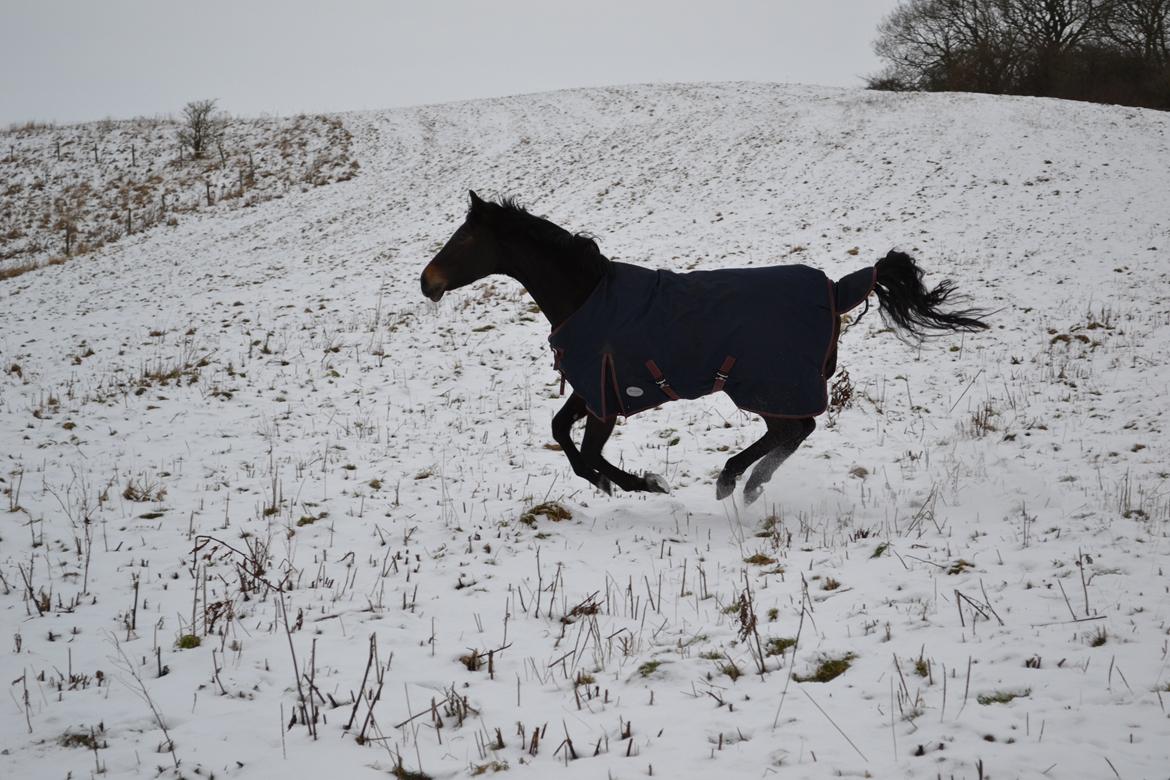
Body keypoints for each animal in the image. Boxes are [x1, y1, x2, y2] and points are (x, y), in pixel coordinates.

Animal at [423, 191, 987, 502]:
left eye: (465, 239)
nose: (427, 283)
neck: (586, 296)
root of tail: (836, 287)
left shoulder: (606, 395)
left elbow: (587, 452)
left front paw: (644, 484)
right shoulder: (592, 389)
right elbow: (564, 436)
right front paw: (616, 484)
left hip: (763, 382)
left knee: (795, 429)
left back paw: (735, 480)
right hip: (767, 385)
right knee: (792, 432)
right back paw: (749, 483)